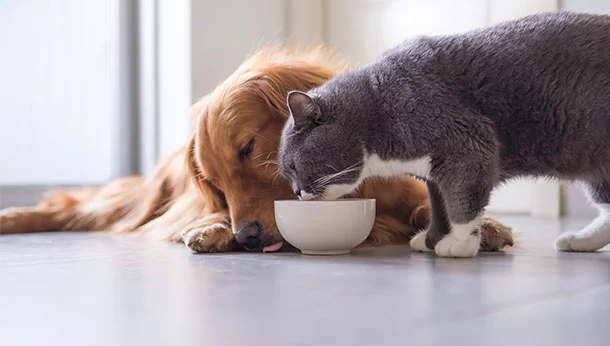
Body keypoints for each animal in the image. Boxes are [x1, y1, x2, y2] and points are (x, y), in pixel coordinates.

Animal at [0, 47, 512, 253]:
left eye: (248, 148)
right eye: (215, 183)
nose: (246, 235)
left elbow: (434, 206)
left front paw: (486, 226)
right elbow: (202, 217)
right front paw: (211, 230)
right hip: (133, 200)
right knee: (71, 207)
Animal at [278, 12, 608, 256]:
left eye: (293, 166)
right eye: (285, 174)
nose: (297, 192)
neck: (378, 106)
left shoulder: (468, 145)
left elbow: (461, 203)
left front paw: (460, 243)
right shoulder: (433, 173)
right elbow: (439, 207)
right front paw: (431, 239)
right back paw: (579, 241)